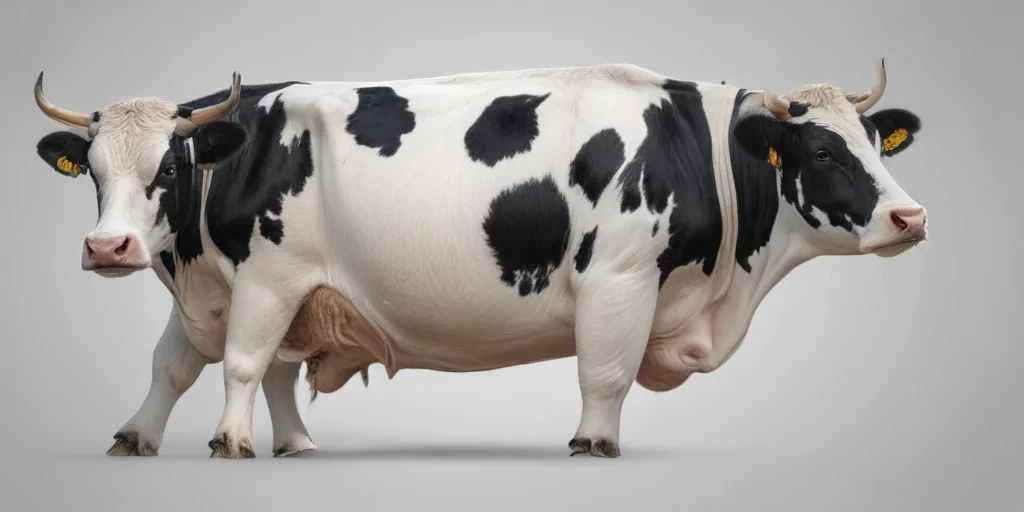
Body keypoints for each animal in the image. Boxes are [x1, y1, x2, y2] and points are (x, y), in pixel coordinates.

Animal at [32, 57, 927, 459]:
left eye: (866, 145)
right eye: (822, 152)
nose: (910, 216)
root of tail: (252, 99)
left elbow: (182, 361)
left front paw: (141, 437)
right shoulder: (621, 278)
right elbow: (605, 372)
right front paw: (593, 446)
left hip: (286, 281)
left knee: (260, 364)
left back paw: (296, 446)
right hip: (275, 275)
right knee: (254, 362)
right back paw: (257, 440)